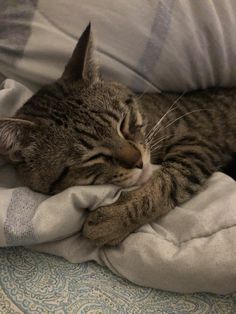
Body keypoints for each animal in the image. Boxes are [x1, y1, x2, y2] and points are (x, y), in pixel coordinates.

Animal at [0, 23, 235, 245]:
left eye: (122, 124)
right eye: (94, 157)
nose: (139, 162)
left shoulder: (196, 144)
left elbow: (169, 181)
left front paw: (113, 219)